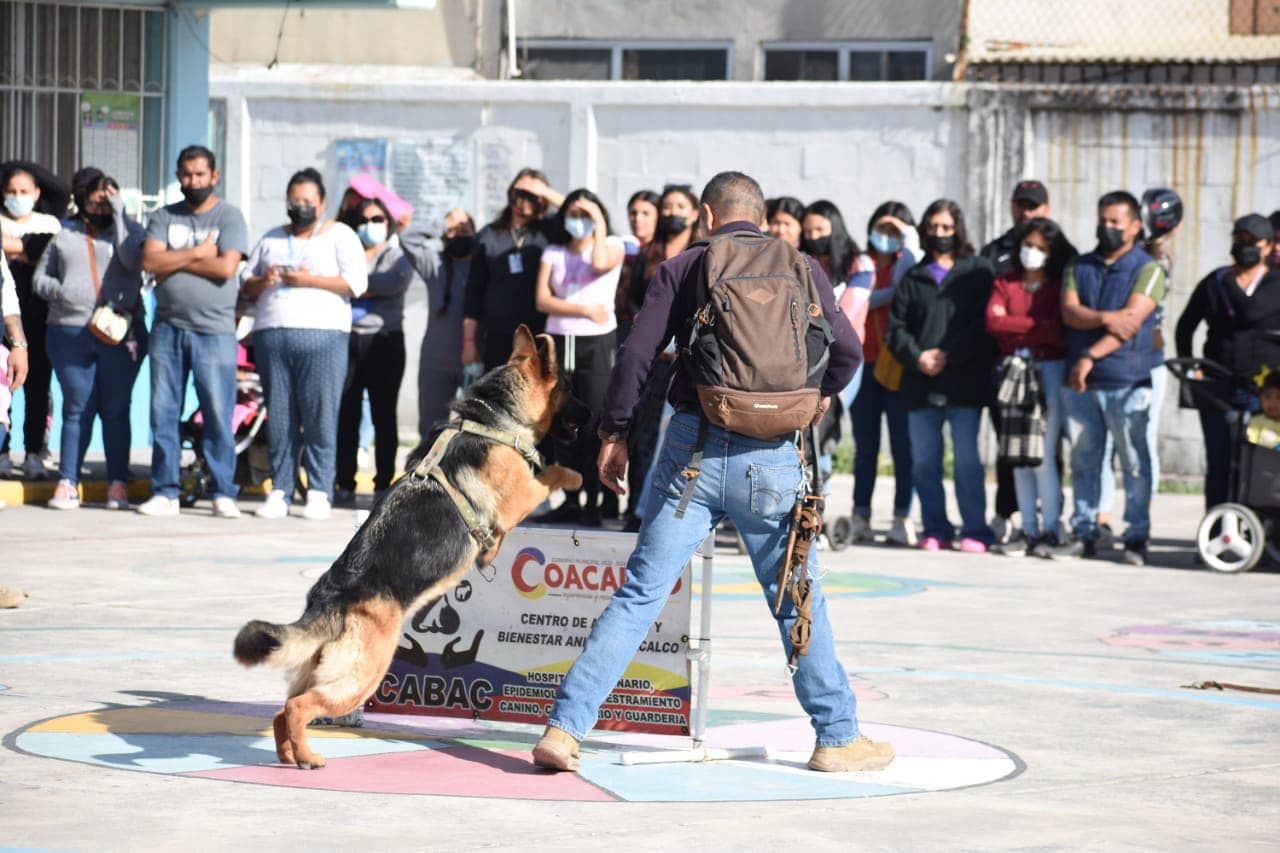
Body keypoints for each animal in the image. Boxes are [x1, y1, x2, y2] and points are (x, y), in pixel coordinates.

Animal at [234, 324, 586, 763]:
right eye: (569, 387)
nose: (593, 415)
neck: (494, 418)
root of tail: (329, 597)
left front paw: (490, 551)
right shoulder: (523, 493)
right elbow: (554, 471)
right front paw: (576, 477)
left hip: (325, 672)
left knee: (284, 710)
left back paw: (291, 757)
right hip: (364, 674)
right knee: (298, 707)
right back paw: (310, 758)